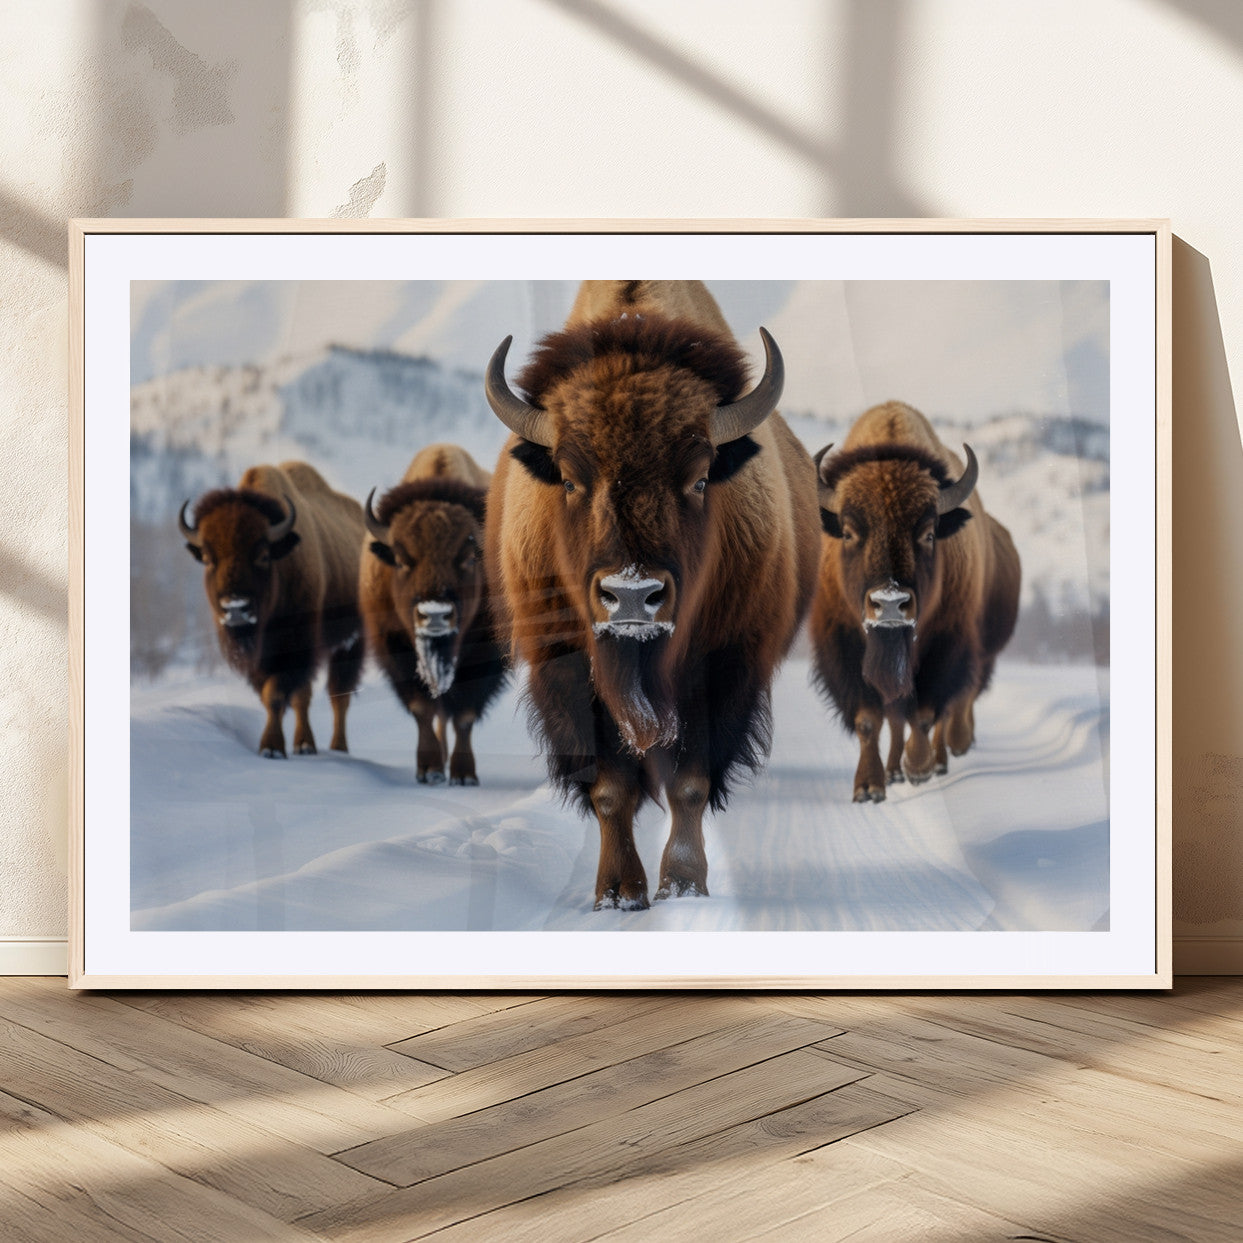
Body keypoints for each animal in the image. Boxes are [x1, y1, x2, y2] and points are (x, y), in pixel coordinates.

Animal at [179, 461, 366, 757]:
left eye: (263, 555)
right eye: (208, 558)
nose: (235, 609)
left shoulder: (295, 648)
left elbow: (276, 694)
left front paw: (271, 748)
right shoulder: (260, 659)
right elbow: (276, 695)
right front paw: (279, 746)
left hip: (350, 643)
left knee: (339, 696)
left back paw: (337, 748)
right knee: (310, 696)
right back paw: (306, 745)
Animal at [360, 444, 507, 784]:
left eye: (469, 558)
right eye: (401, 559)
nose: (435, 615)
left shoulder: (484, 658)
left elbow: (464, 716)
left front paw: (464, 775)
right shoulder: (398, 652)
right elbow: (422, 710)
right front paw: (430, 770)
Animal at [484, 280, 821, 909]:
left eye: (699, 477)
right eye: (570, 479)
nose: (633, 596)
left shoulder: (723, 670)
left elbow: (690, 783)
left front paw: (683, 884)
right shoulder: (568, 674)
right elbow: (610, 790)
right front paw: (618, 893)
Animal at [809, 402, 1021, 801]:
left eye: (927, 533)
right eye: (849, 531)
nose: (890, 603)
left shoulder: (946, 642)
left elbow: (925, 713)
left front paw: (919, 767)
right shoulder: (844, 643)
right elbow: (869, 719)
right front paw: (869, 786)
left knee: (941, 712)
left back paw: (934, 761)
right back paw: (894, 771)